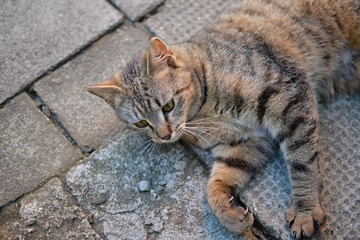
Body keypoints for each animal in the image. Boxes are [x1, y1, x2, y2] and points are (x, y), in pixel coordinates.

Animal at [88, 0, 360, 238]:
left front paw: (305, 209)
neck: (205, 109)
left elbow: (302, 162)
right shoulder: (242, 143)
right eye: (141, 123)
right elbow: (215, 185)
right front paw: (230, 215)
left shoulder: (288, 98)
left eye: (168, 106)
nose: (164, 136)